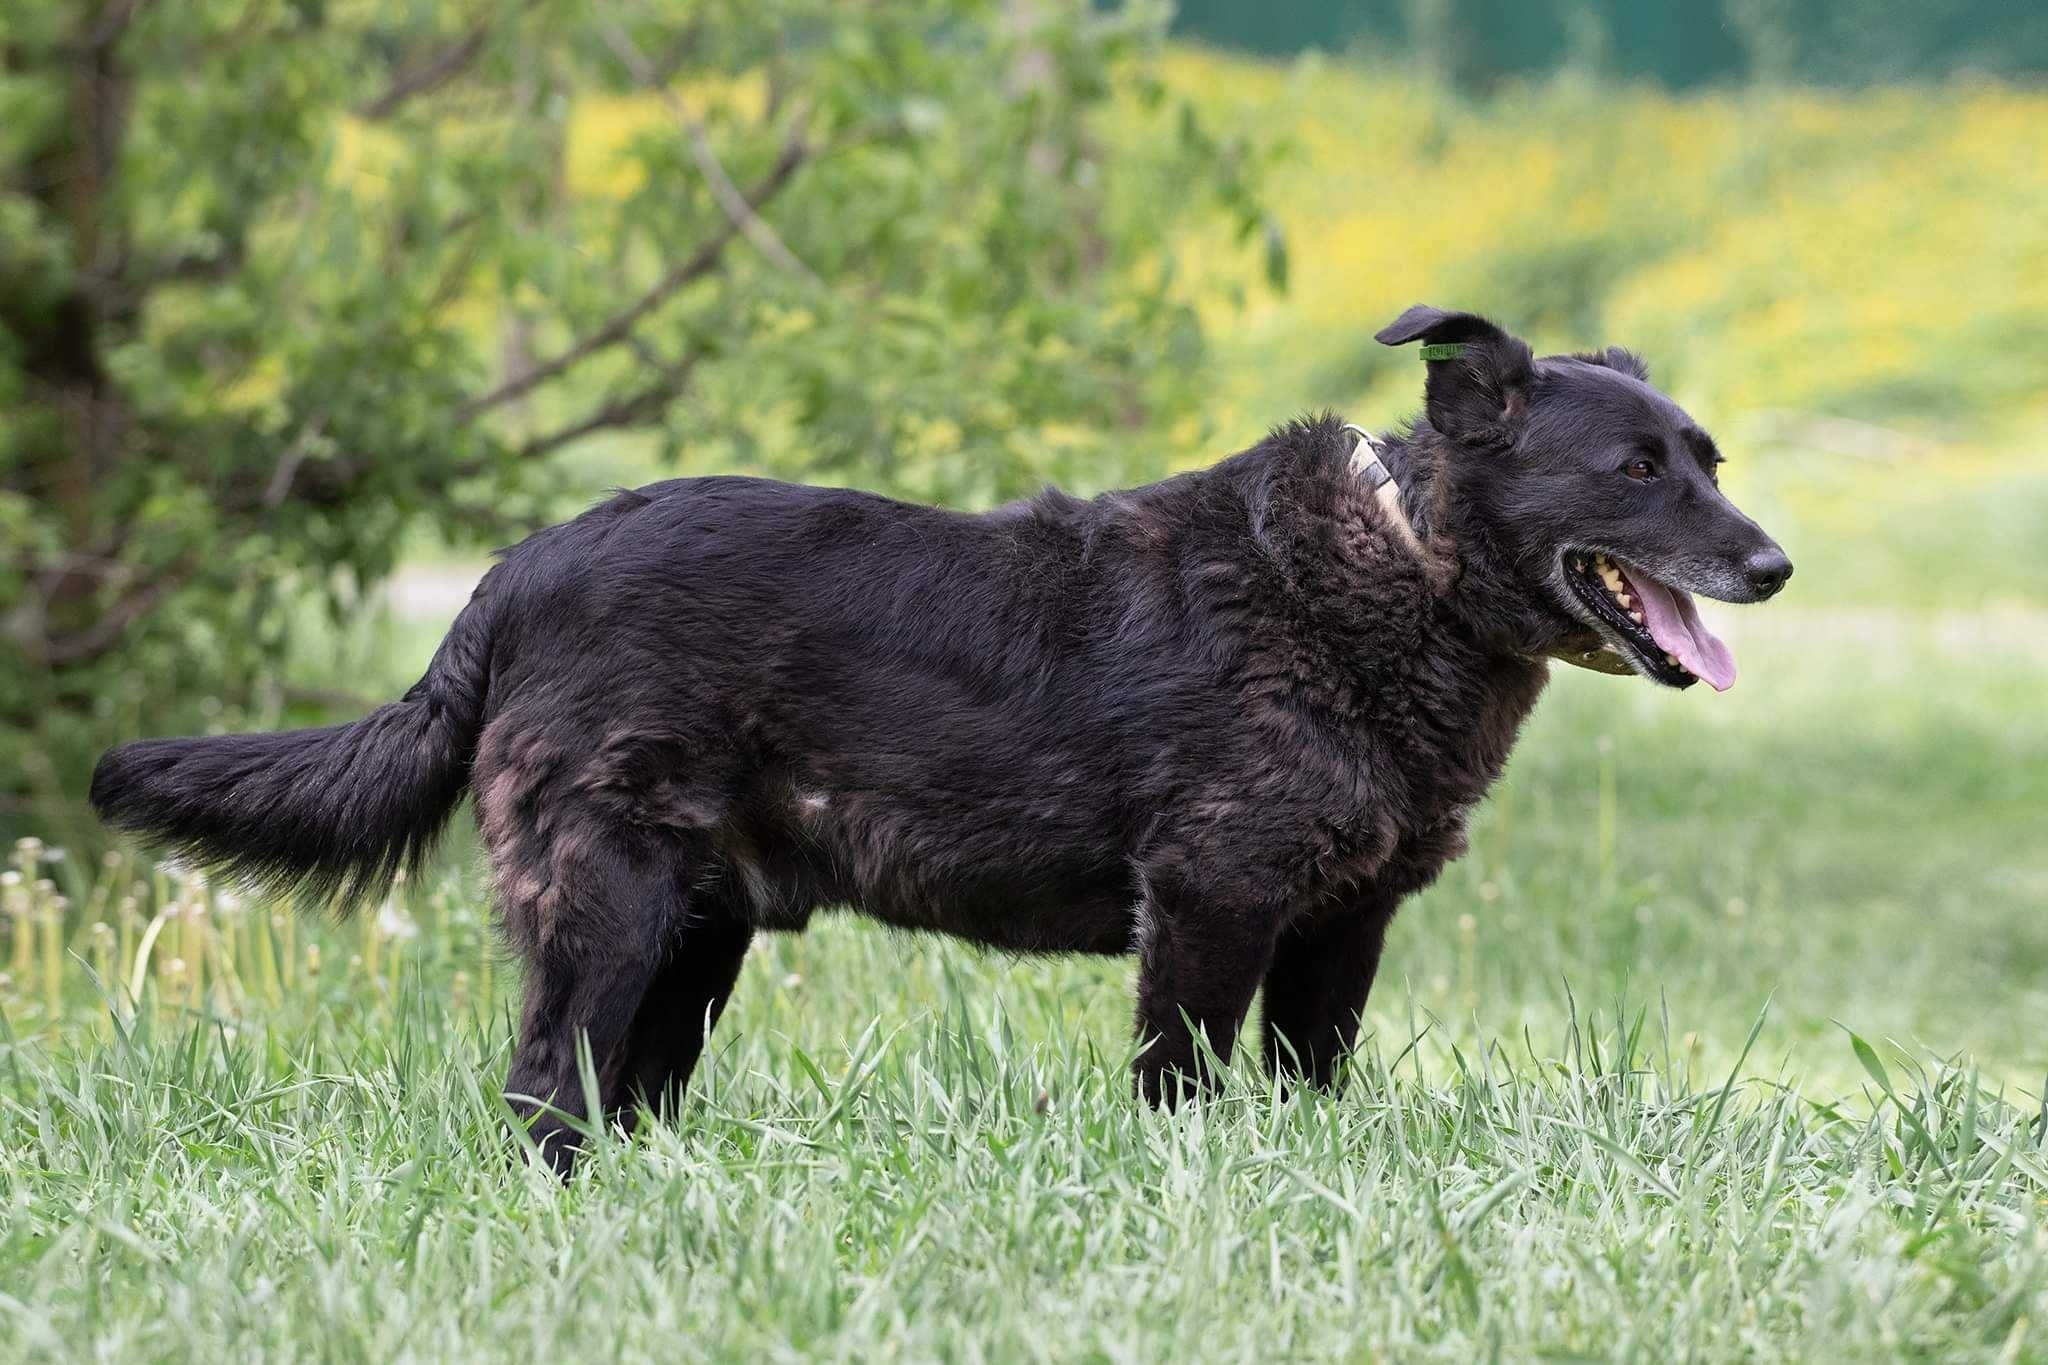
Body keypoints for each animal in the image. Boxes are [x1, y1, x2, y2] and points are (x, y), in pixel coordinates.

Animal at [96, 309, 1785, 1178]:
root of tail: (516, 571)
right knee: (539, 1096)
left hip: (696, 934)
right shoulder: (1210, 903)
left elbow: (1306, 1084)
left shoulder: (1341, 924)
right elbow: (1184, 1091)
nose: (1773, 567)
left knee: (613, 1101)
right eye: (1636, 472)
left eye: (1708, 458)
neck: (1400, 572)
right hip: (610, 910)